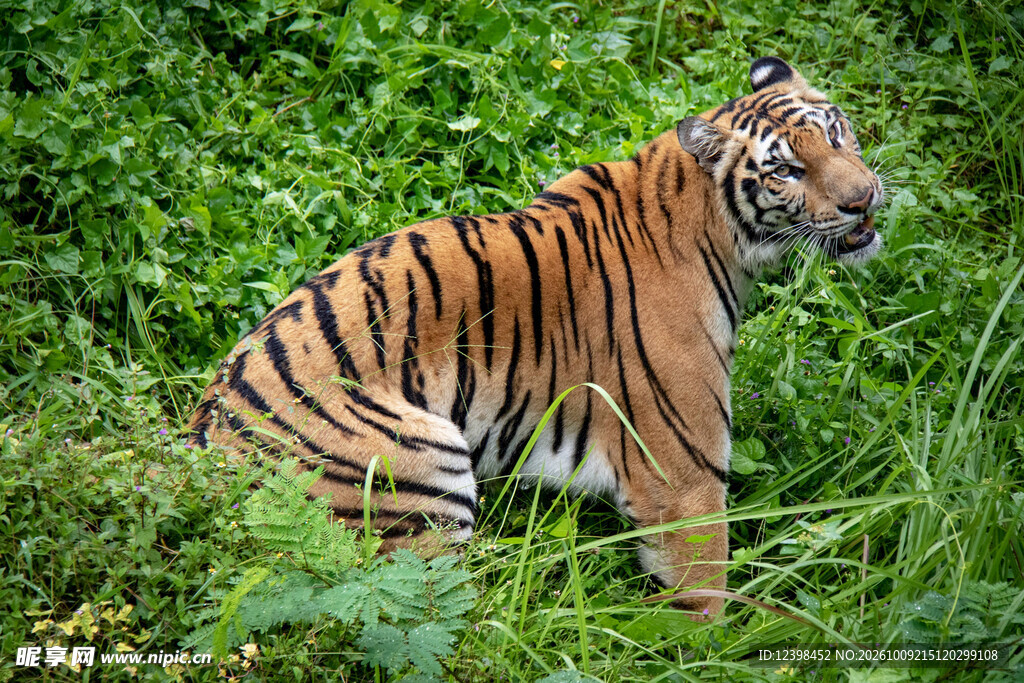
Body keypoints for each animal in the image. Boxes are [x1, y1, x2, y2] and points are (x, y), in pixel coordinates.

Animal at [188, 56, 883, 617]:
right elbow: (706, 595)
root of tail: (192, 456)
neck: (719, 232)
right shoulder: (684, 475)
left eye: (836, 133)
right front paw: (724, 648)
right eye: (785, 170)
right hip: (423, 468)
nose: (865, 199)